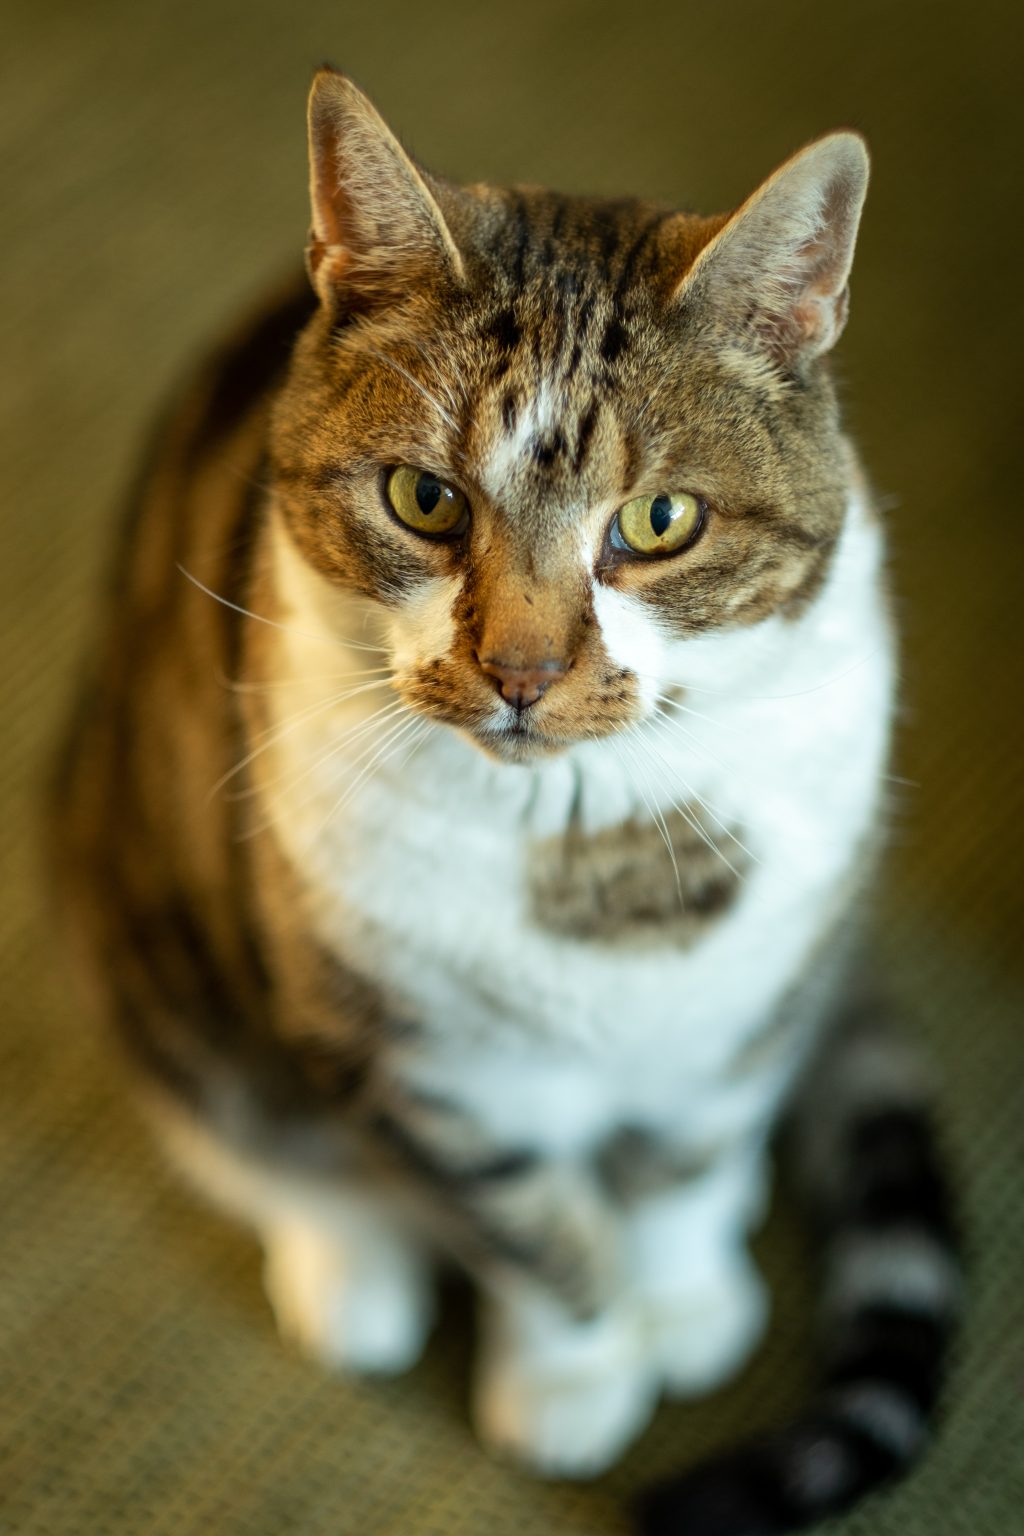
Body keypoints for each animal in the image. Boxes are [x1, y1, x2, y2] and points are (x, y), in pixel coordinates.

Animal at [56, 69, 964, 1536]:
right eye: (423, 498)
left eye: (659, 521)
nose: (525, 674)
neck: (597, 849)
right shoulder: (424, 1072)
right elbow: (537, 1236)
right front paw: (574, 1384)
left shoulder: (752, 999)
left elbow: (690, 1161)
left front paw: (685, 1301)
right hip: (145, 925)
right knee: (255, 1142)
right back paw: (350, 1272)